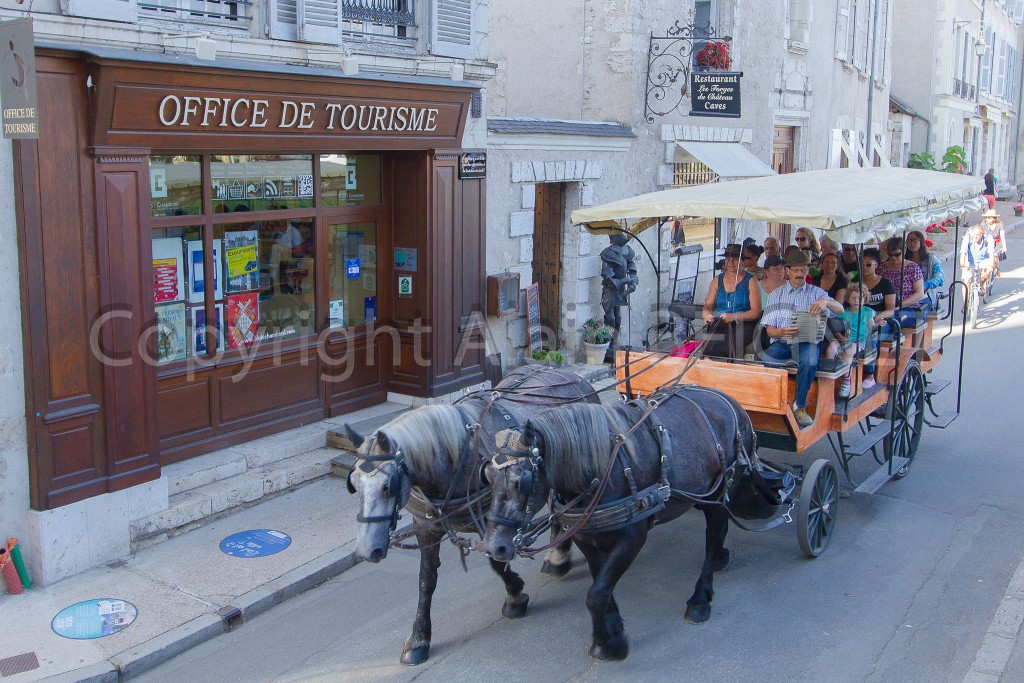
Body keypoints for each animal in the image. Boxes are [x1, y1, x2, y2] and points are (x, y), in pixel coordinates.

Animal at [346, 366, 598, 663]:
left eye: (389, 485)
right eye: (353, 483)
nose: (366, 550)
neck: (455, 457)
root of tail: (572, 376)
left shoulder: (492, 520)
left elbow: (497, 562)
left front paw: (515, 596)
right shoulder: (426, 527)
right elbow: (426, 580)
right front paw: (419, 639)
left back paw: (558, 556)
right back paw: (556, 555)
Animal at [479, 389, 753, 663]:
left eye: (520, 481)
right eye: (487, 476)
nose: (494, 547)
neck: (600, 471)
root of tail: (725, 398)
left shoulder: (632, 539)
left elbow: (597, 593)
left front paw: (610, 644)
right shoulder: (586, 538)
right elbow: (601, 587)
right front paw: (612, 629)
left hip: (721, 490)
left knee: (714, 536)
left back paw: (700, 598)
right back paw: (720, 559)